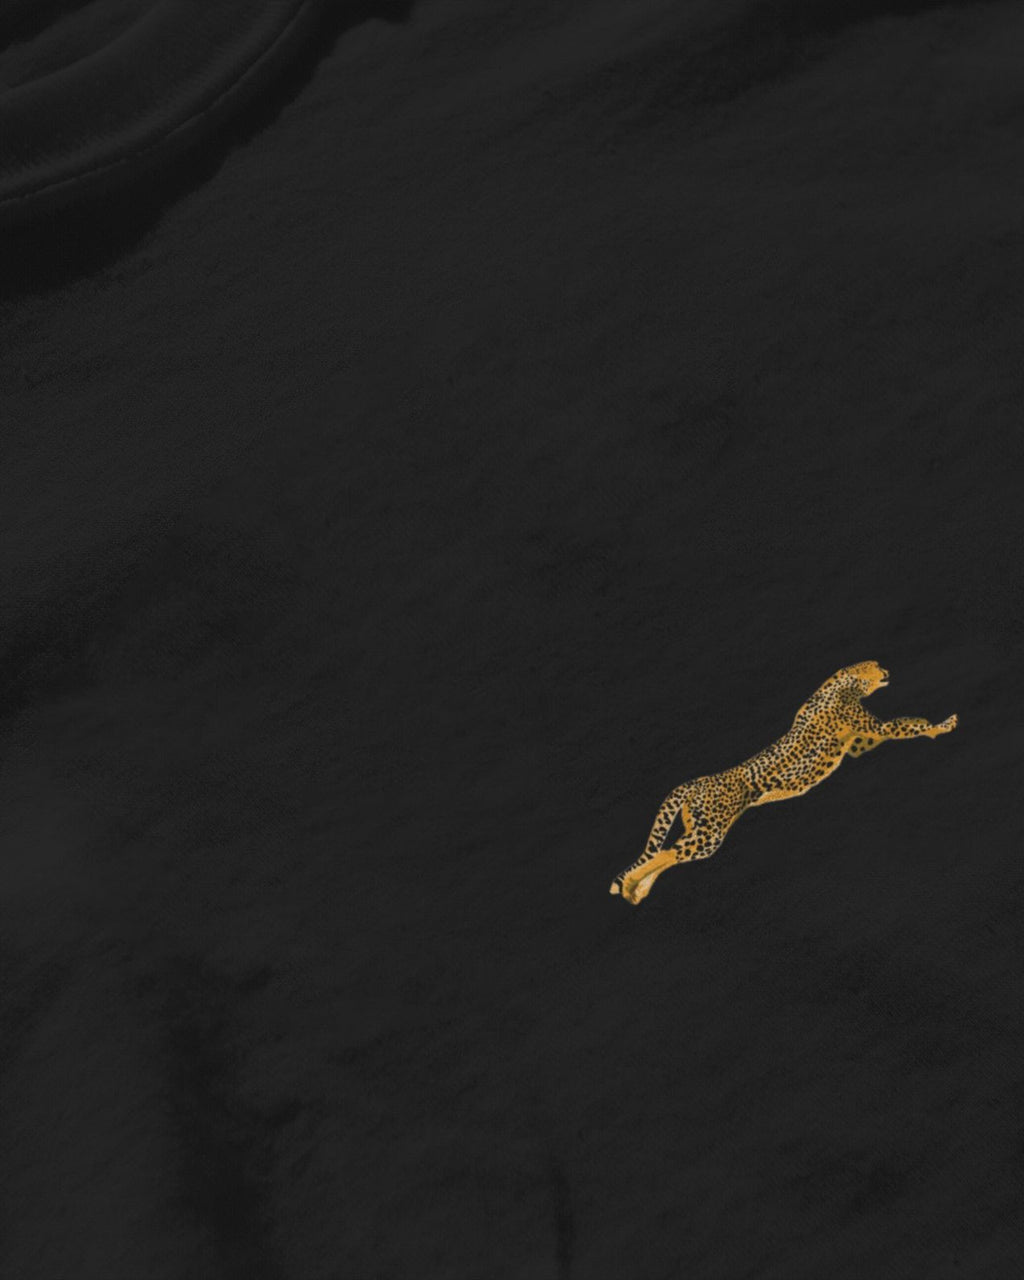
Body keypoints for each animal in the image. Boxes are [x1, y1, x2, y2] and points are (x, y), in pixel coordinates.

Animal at [609, 661, 957, 905]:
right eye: (877, 666)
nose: (887, 670)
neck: (843, 683)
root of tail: (695, 782)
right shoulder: (870, 730)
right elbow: (904, 727)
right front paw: (942, 725)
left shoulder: (860, 743)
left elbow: (904, 723)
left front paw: (928, 721)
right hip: (709, 833)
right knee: (664, 854)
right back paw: (630, 888)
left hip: (699, 830)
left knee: (667, 855)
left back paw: (635, 891)